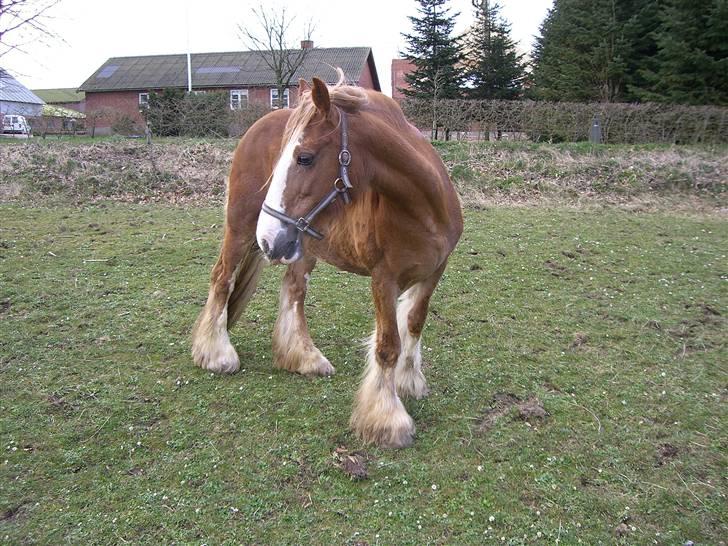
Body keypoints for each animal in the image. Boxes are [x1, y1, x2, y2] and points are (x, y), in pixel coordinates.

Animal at [193, 73, 464, 446]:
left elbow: (414, 323)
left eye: (304, 158)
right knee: (222, 278)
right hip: (241, 229)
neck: (422, 206)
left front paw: (410, 382)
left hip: (300, 245)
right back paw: (217, 354)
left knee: (294, 290)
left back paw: (304, 357)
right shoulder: (384, 279)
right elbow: (387, 346)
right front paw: (387, 420)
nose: (267, 238)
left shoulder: (434, 271)